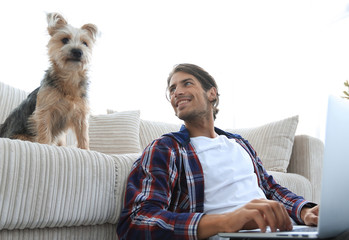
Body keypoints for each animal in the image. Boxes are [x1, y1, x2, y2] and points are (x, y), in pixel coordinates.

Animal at [0, 12, 96, 150]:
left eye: (85, 43)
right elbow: (44, 130)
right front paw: (45, 145)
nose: (77, 51)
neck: (69, 78)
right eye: (64, 40)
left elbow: (83, 135)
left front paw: (85, 150)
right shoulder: (44, 111)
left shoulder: (80, 115)